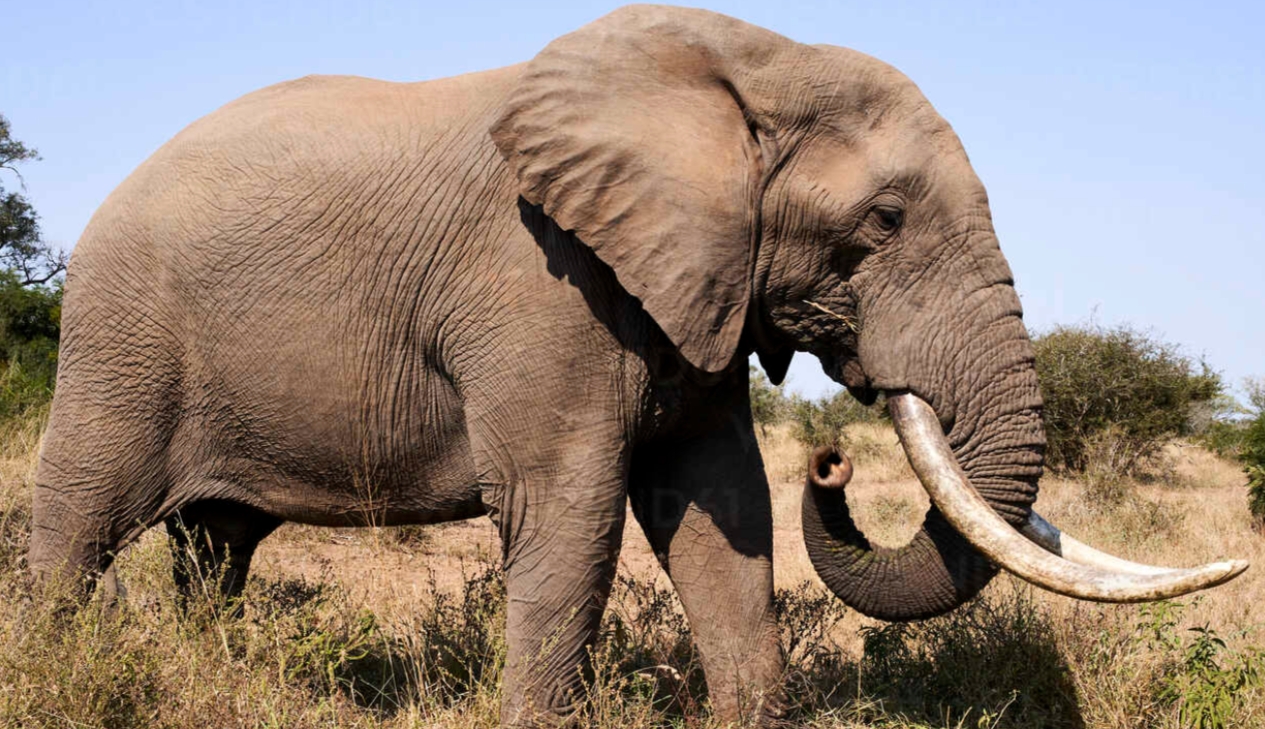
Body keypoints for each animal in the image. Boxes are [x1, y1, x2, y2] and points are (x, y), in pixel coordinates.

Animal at [29, 5, 1246, 726]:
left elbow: (720, 502)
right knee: (82, 518)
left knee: (216, 545)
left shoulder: (694, 284)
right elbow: (567, 508)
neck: (747, 69)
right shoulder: (539, 282)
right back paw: (59, 671)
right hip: (120, 334)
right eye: (883, 220)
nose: (835, 465)